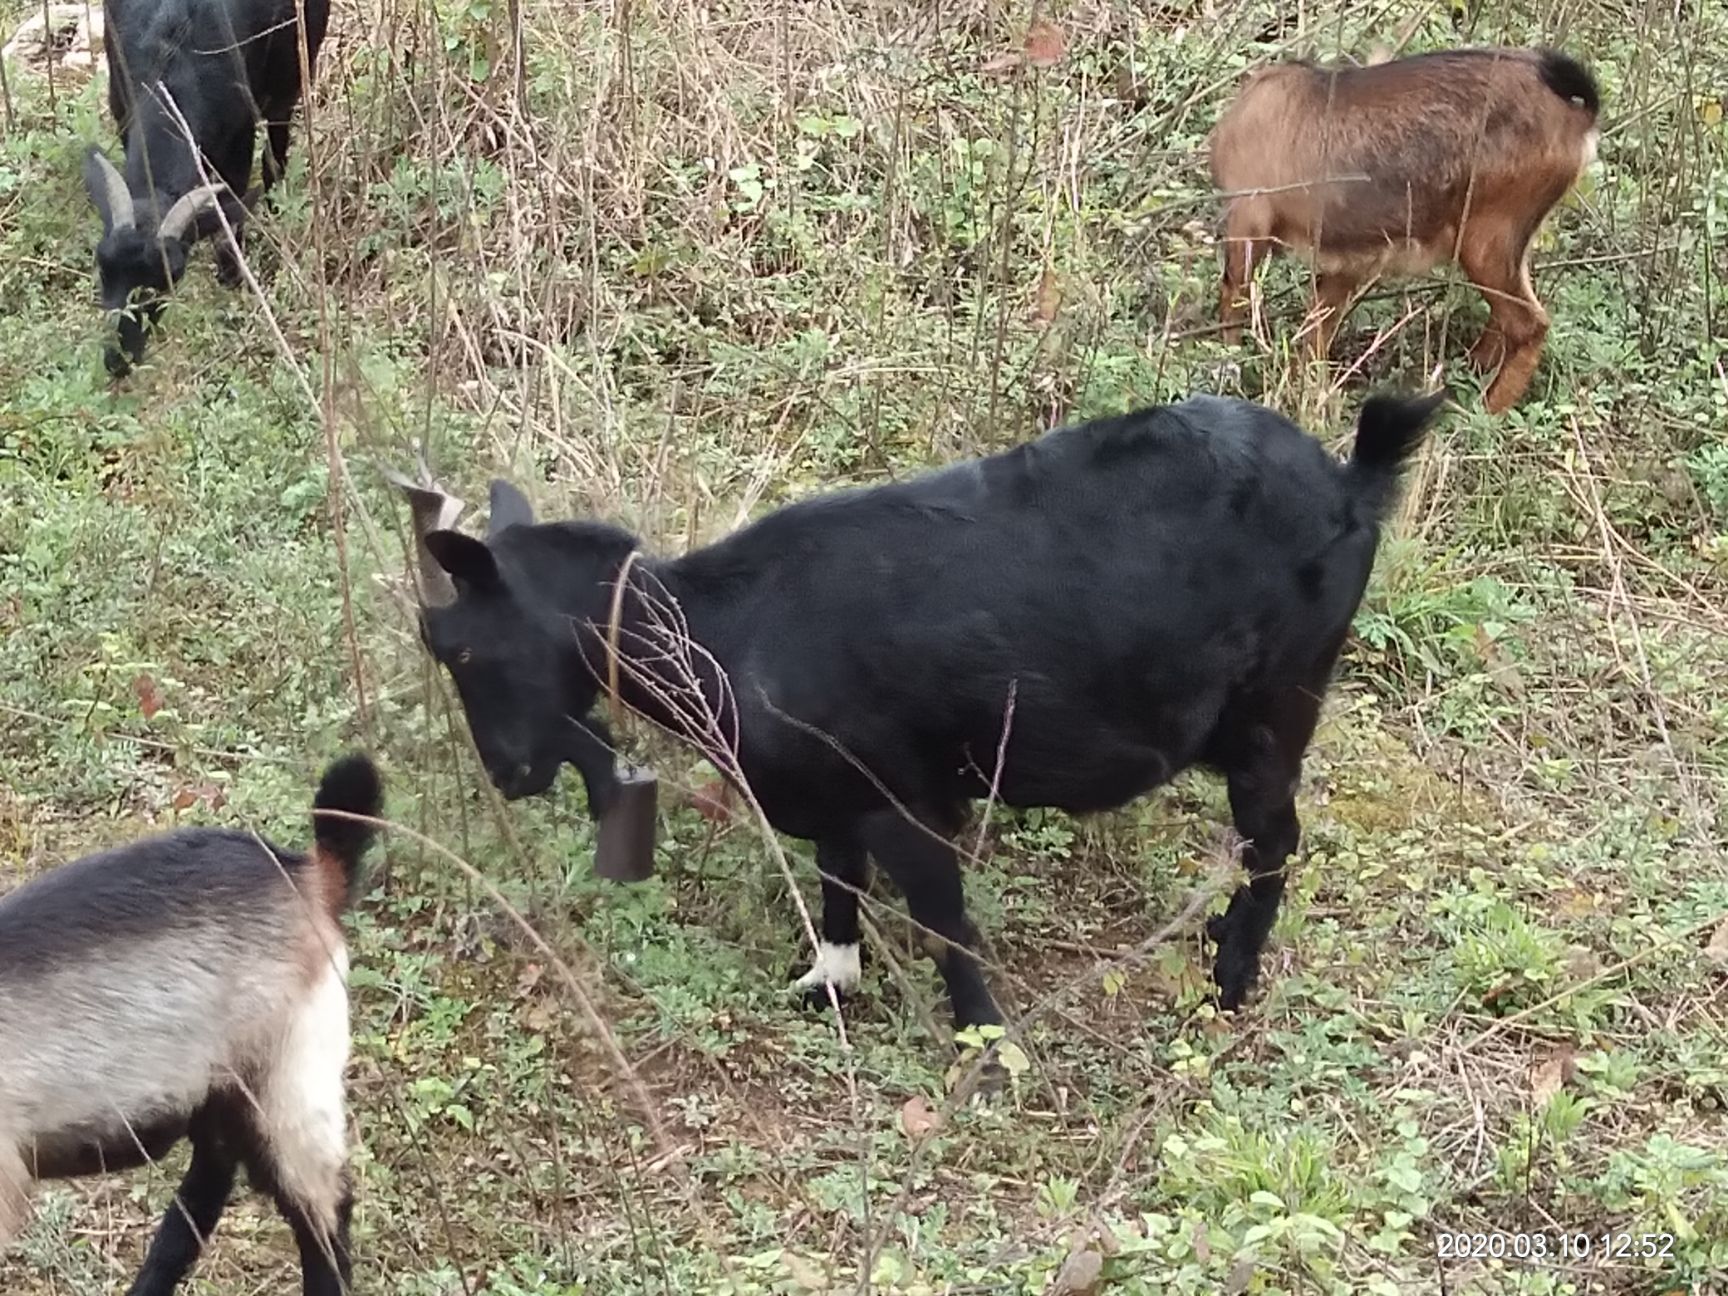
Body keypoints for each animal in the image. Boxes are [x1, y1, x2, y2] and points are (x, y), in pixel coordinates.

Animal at [85, 0, 330, 374]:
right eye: (102, 264)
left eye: (171, 275)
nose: (118, 360)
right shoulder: (122, 110)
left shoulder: (240, 133)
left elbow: (233, 205)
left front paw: (232, 277)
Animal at [397, 393, 1437, 1043]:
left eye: (458, 648)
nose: (509, 774)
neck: (724, 634)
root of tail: (1353, 480)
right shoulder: (832, 798)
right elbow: (836, 887)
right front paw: (828, 987)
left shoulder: (906, 801)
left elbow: (943, 919)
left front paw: (985, 1046)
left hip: (1280, 701)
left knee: (1277, 838)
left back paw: (1231, 977)